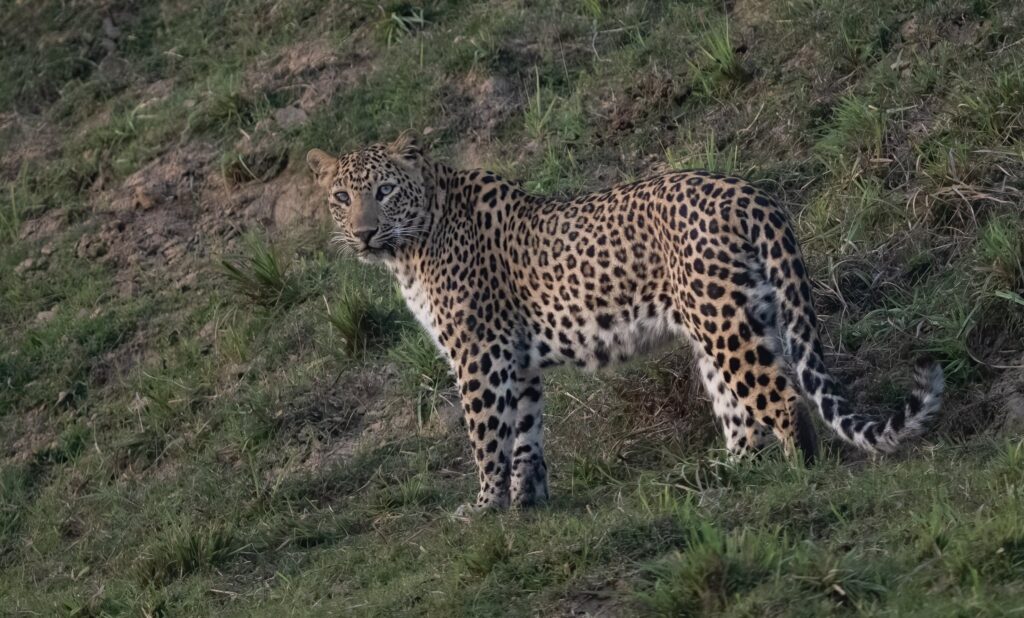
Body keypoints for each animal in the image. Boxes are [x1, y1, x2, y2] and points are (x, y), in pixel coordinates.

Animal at [306, 134, 945, 514]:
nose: (363, 232)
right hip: (735, 319)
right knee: (743, 412)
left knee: (781, 399)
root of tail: (751, 192)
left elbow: (487, 435)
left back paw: (798, 477)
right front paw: (528, 502)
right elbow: (526, 434)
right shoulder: (517, 359)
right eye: (340, 197)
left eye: (384, 191)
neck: (411, 246)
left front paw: (485, 508)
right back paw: (723, 476)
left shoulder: (480, 354)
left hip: (722, 320)